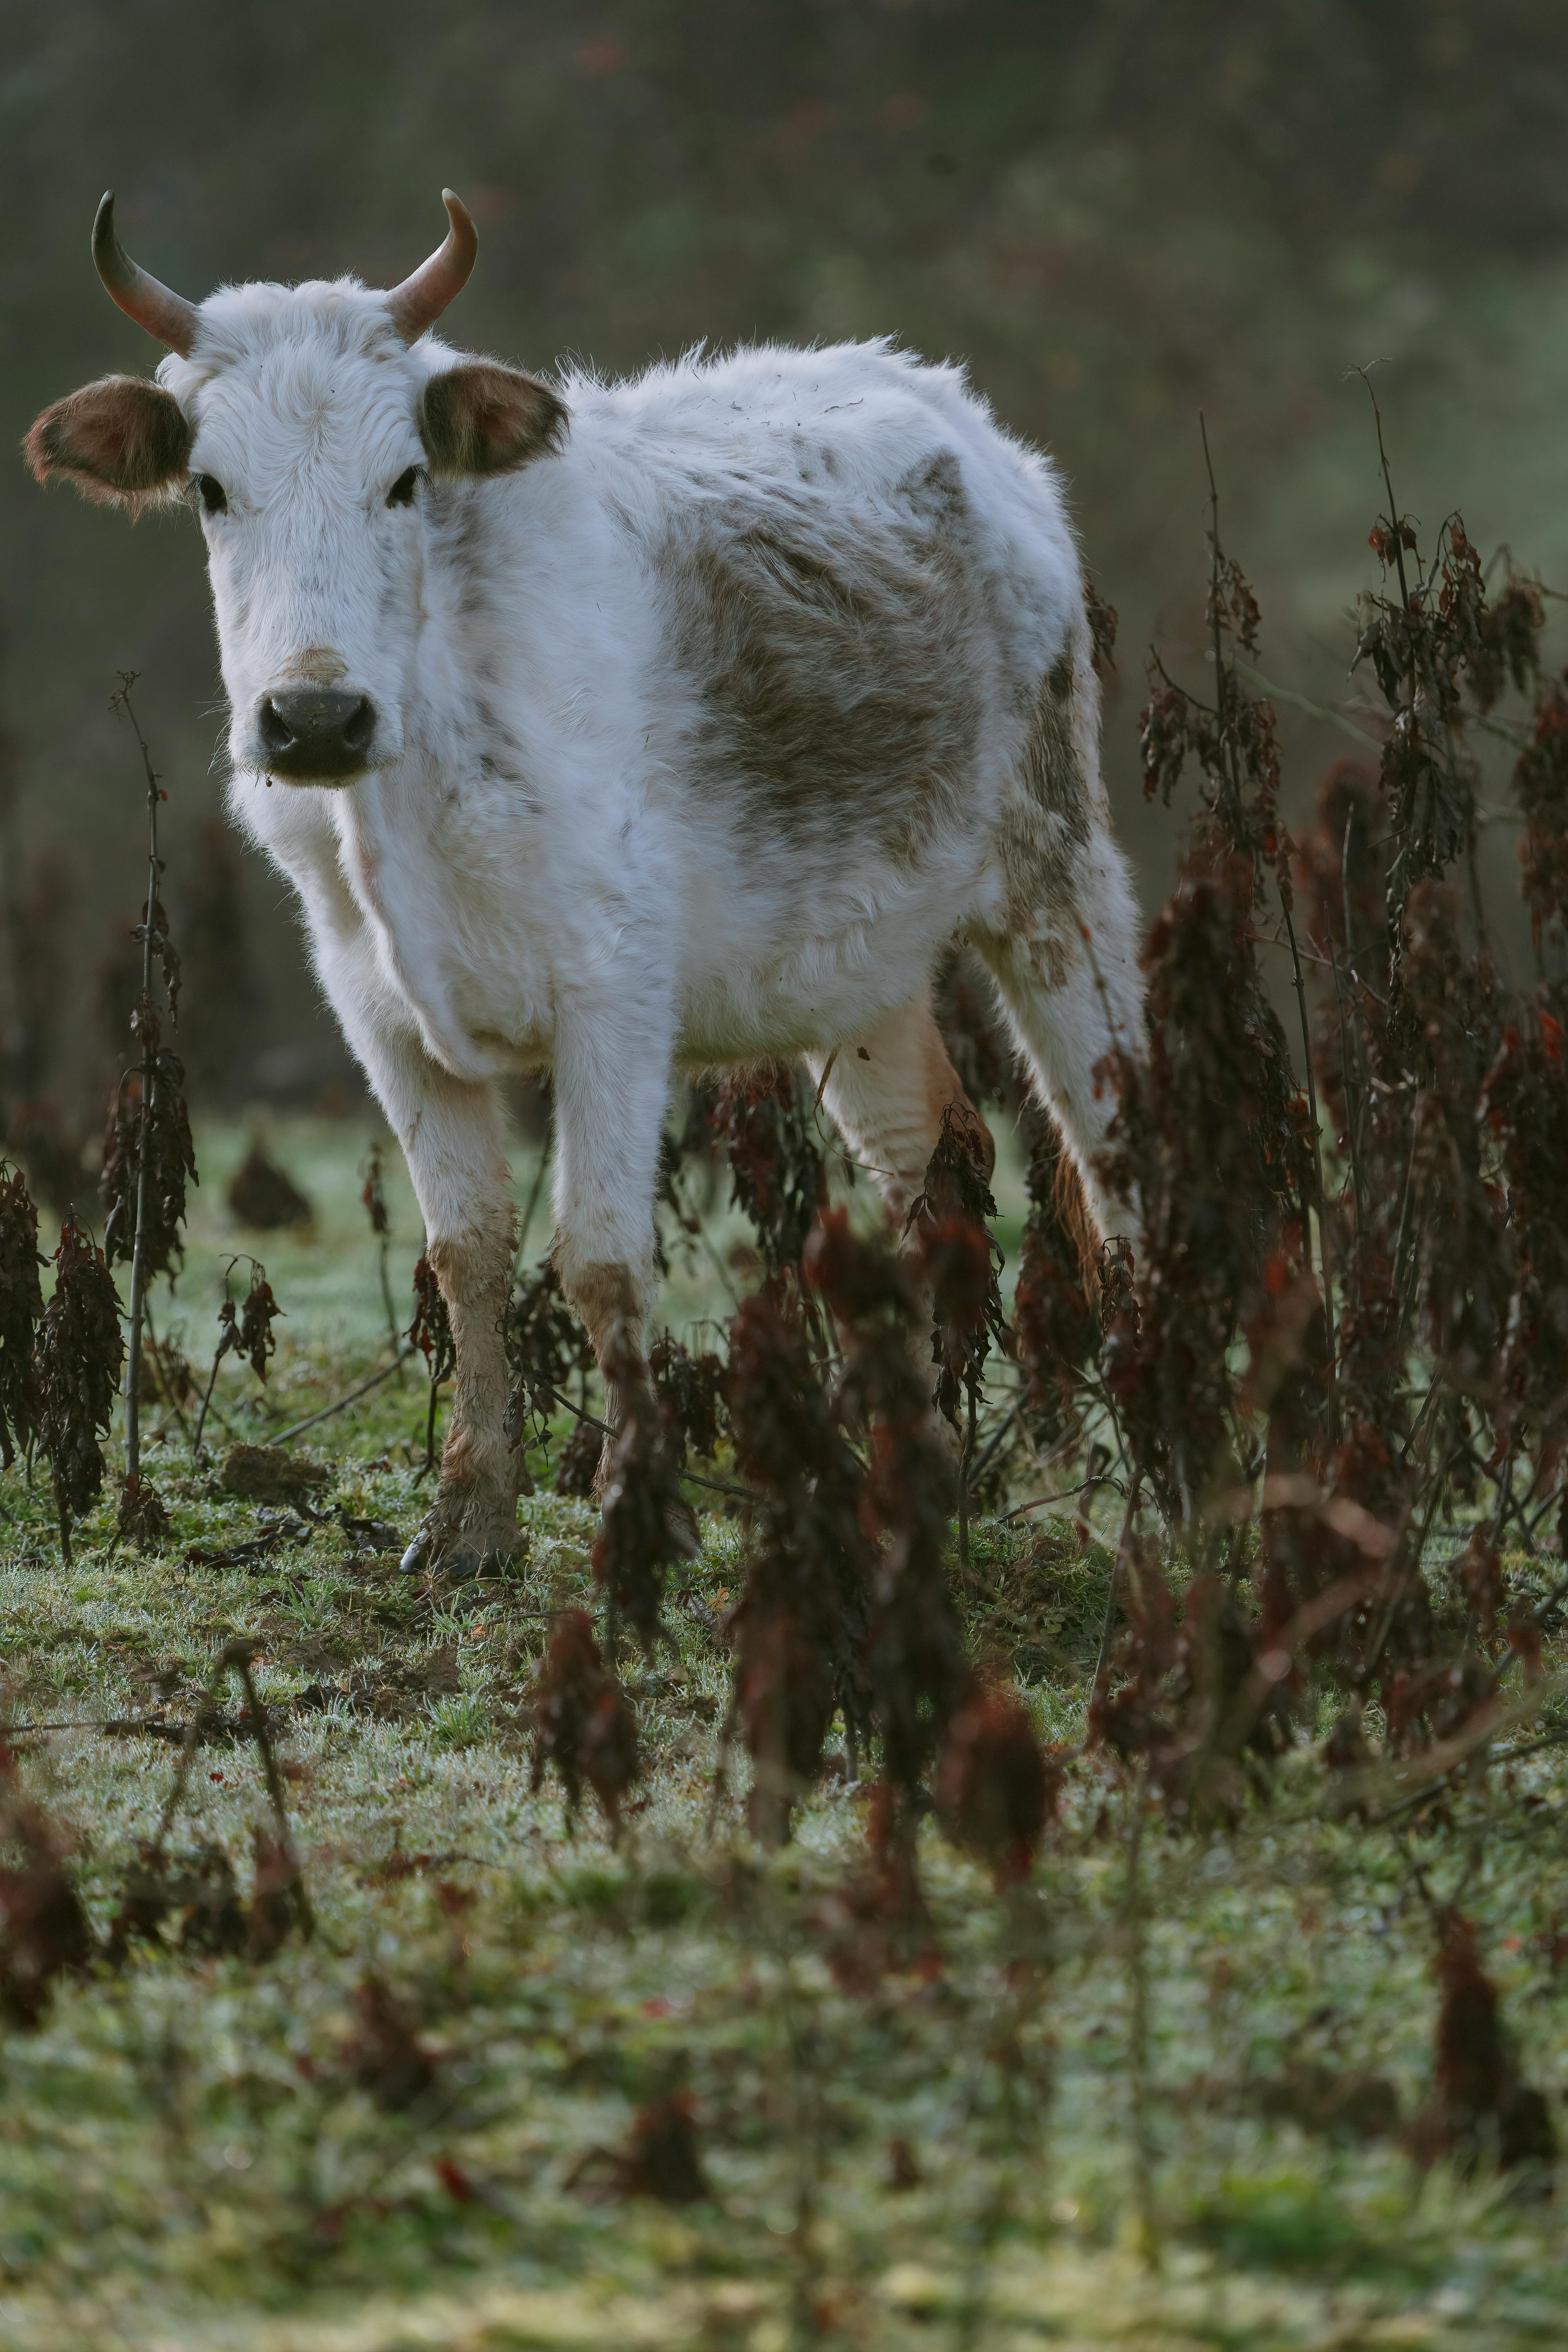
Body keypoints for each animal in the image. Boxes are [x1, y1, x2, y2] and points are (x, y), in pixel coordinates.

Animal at [26, 190, 1144, 1578]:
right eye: (211, 488)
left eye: (406, 480)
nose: (315, 719)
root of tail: (957, 418)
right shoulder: (381, 1015)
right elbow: (466, 1251)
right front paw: (470, 1515)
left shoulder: (614, 996)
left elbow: (602, 1259)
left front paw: (636, 1509)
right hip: (857, 966)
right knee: (931, 1168)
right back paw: (918, 1483)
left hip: (1058, 880)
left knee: (1113, 1163)